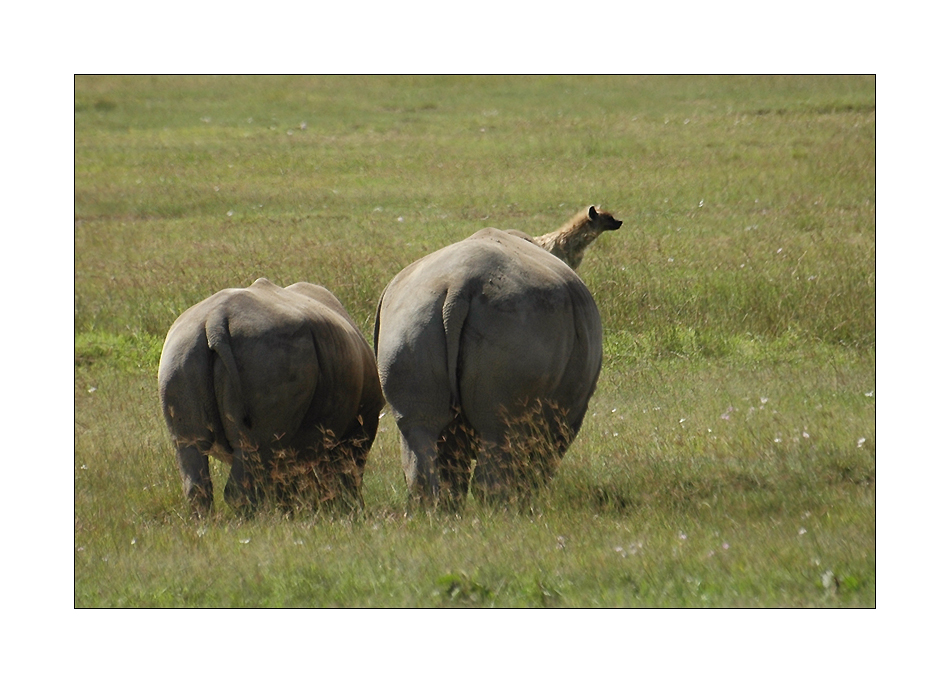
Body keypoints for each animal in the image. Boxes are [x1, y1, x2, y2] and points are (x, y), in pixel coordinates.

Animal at [159, 276, 384, 516]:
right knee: (253, 447)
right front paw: (349, 509)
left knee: (191, 446)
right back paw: (254, 519)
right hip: (270, 357)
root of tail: (214, 321)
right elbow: (349, 471)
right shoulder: (362, 424)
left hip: (181, 351)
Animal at [376, 208, 620, 508]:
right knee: (499, 437)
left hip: (411, 317)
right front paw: (529, 498)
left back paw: (438, 510)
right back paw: (498, 510)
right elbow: (542, 460)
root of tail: (458, 285)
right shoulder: (569, 410)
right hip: (517, 324)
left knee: (417, 429)